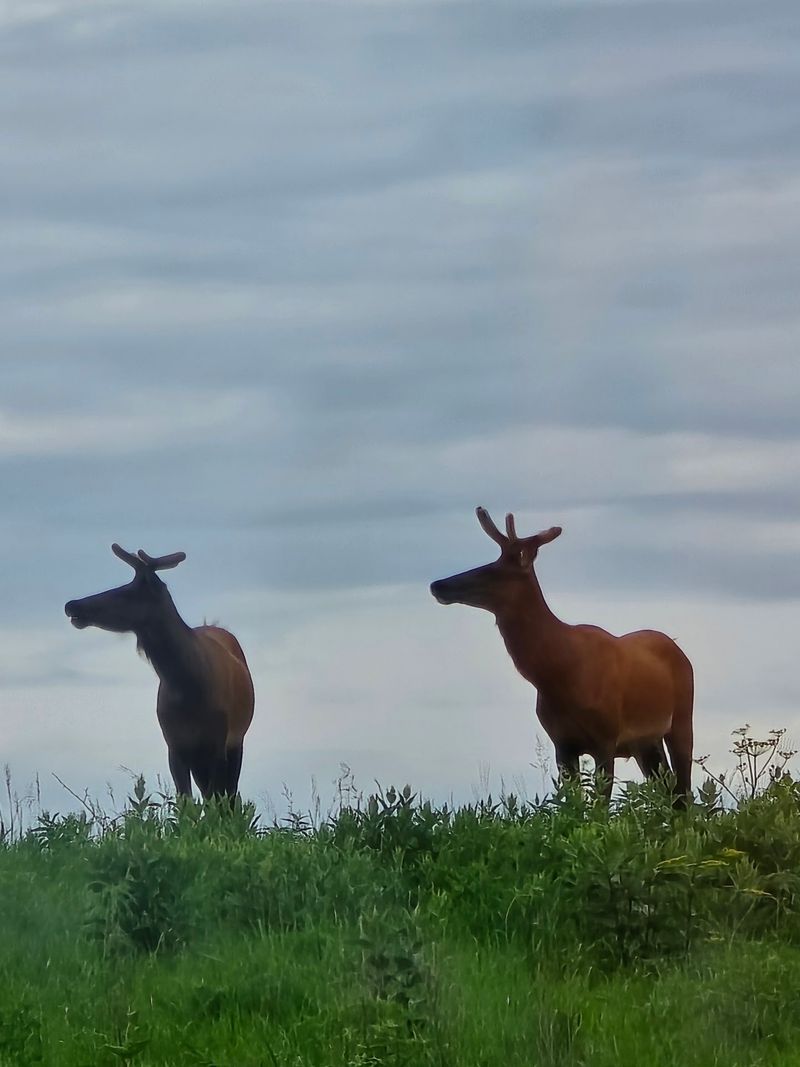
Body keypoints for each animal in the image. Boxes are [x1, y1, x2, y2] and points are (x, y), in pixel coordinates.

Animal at [64, 544, 255, 802]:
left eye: (126, 592)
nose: (72, 605)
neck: (187, 688)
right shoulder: (174, 745)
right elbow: (186, 801)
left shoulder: (218, 742)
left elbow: (216, 799)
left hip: (236, 740)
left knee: (230, 794)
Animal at [430, 508, 694, 806]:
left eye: (492, 571)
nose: (438, 585)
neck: (561, 674)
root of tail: (677, 648)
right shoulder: (561, 743)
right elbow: (572, 805)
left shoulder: (606, 736)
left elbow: (599, 807)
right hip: (645, 742)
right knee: (670, 792)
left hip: (682, 718)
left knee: (684, 791)